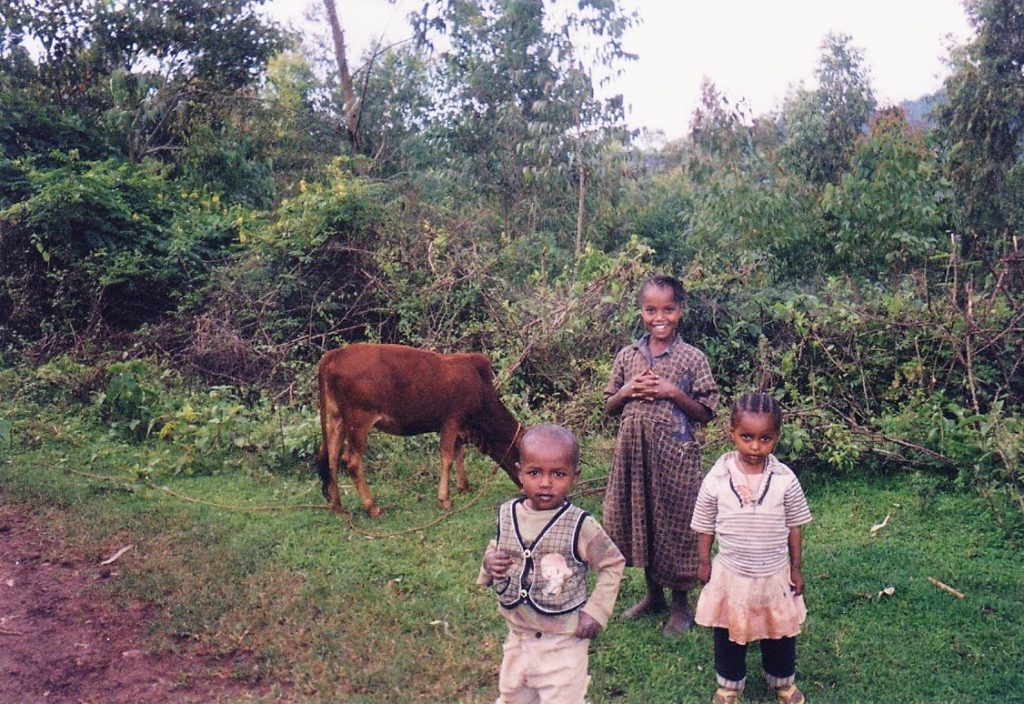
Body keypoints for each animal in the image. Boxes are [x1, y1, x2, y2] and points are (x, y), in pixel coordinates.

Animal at [313, 345, 524, 517]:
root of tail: (335, 354)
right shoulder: (451, 421)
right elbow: (447, 458)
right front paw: (445, 500)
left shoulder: (459, 428)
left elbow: (459, 455)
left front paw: (464, 487)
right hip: (358, 422)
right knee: (351, 461)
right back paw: (372, 507)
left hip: (336, 419)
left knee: (331, 458)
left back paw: (337, 505)